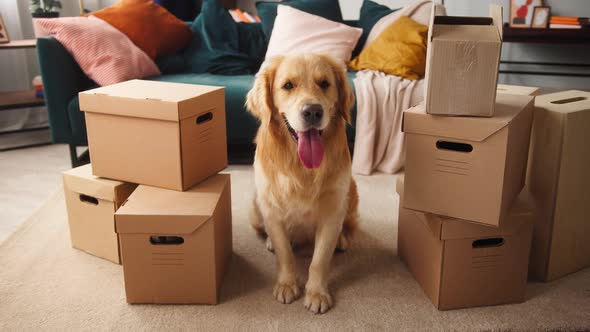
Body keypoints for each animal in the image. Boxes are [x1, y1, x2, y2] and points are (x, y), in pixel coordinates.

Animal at [246, 54, 358, 314]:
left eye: (325, 83)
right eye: (288, 85)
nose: (313, 111)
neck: (302, 168)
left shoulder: (332, 213)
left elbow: (319, 260)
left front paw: (316, 293)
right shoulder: (272, 211)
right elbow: (285, 254)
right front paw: (287, 285)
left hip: (351, 192)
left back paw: (342, 240)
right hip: (256, 206)